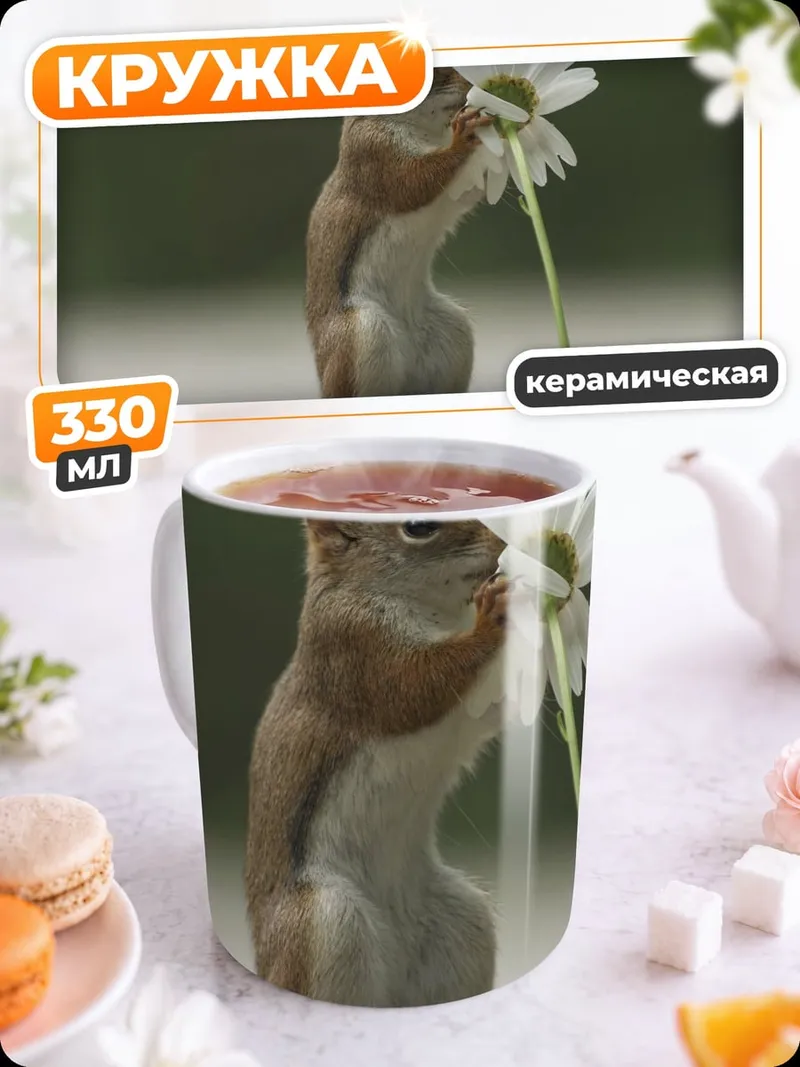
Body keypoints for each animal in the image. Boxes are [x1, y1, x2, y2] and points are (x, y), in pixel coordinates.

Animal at [245, 517, 508, 1007]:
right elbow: (416, 685)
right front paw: (494, 616)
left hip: (463, 927)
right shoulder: (355, 646)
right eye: (419, 527)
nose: (503, 543)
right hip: (325, 921)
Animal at [305, 67, 494, 399]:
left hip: (453, 334)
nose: (474, 84)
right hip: (361, 334)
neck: (428, 133)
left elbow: (469, 190)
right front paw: (464, 137)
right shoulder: (374, 154)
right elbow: (414, 182)